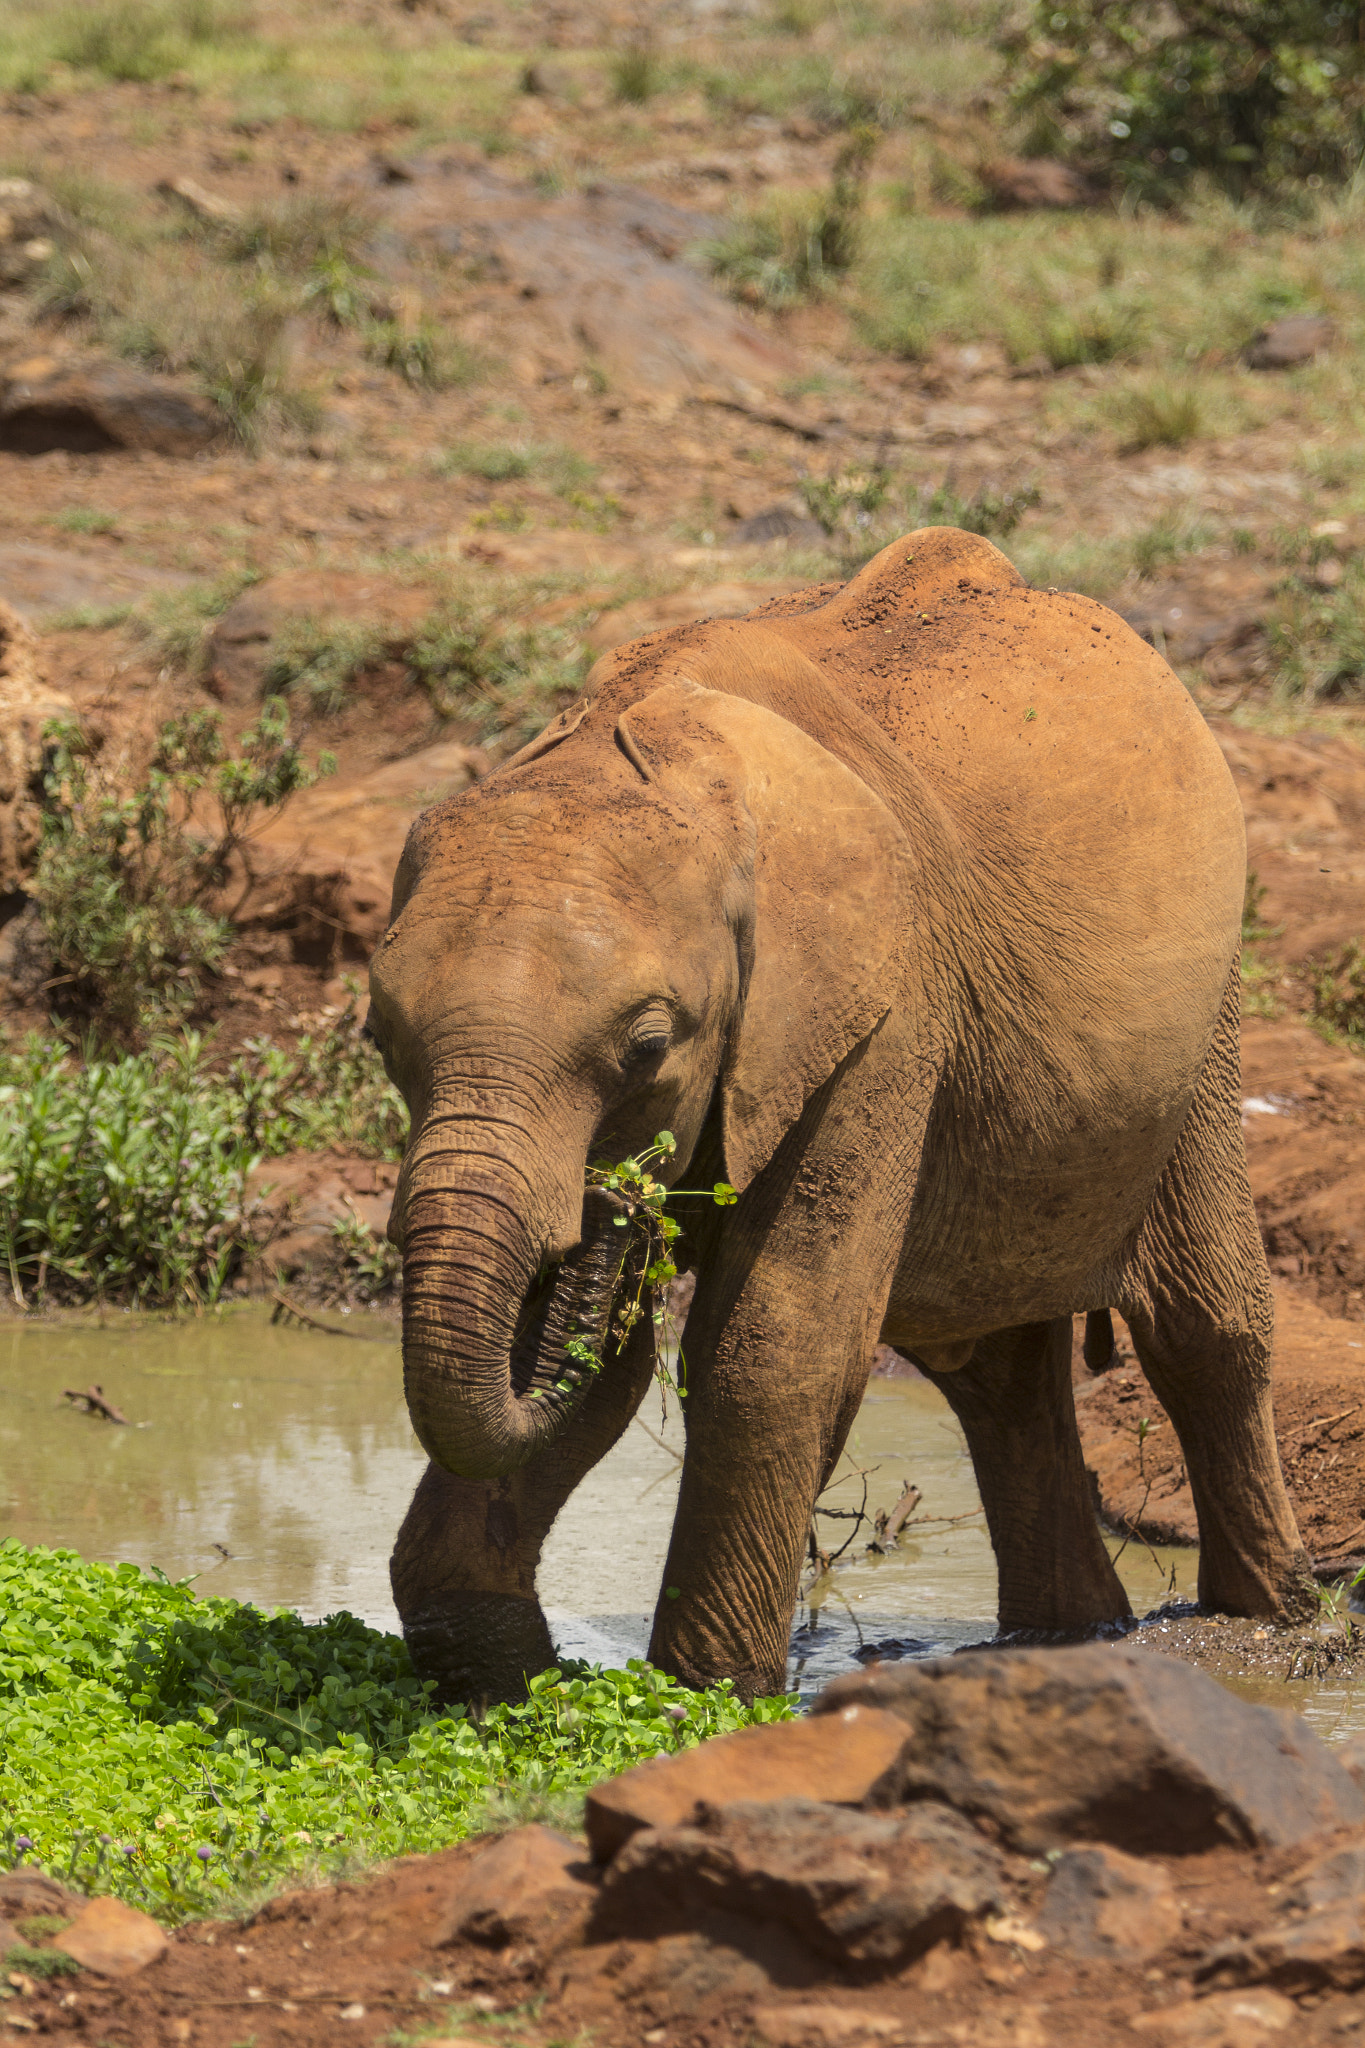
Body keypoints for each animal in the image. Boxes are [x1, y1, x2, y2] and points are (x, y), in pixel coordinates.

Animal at [366, 520, 1309, 1703]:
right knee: (990, 1368)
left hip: (1204, 1026)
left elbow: (776, 1344)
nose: (615, 1208)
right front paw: (498, 1673)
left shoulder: (879, 1008)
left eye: (647, 1050)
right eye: (382, 1042)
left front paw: (706, 1697)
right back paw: (1073, 1637)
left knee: (1201, 1324)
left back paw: (1270, 1629)